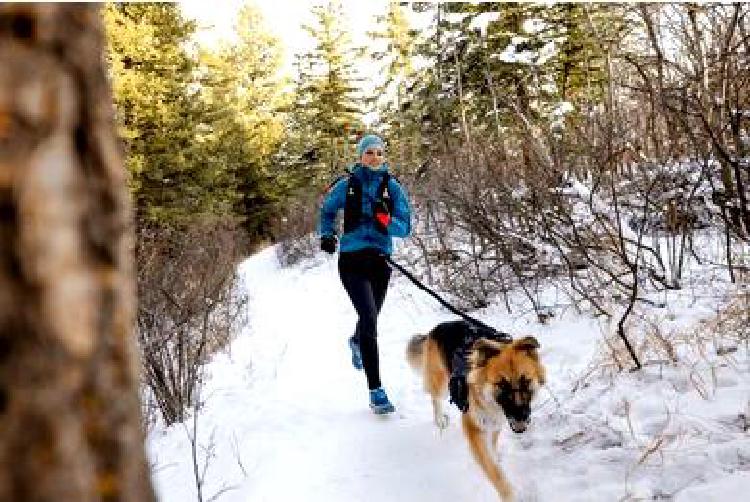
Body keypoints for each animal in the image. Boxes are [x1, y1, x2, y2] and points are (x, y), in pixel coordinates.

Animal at [406, 320, 548, 500]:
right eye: (501, 385)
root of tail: (440, 325)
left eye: (525, 381)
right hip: (441, 384)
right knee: (435, 398)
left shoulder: (495, 423)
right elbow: (494, 471)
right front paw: (510, 495)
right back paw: (439, 420)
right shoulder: (474, 429)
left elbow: (492, 446)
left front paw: (496, 456)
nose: (520, 417)